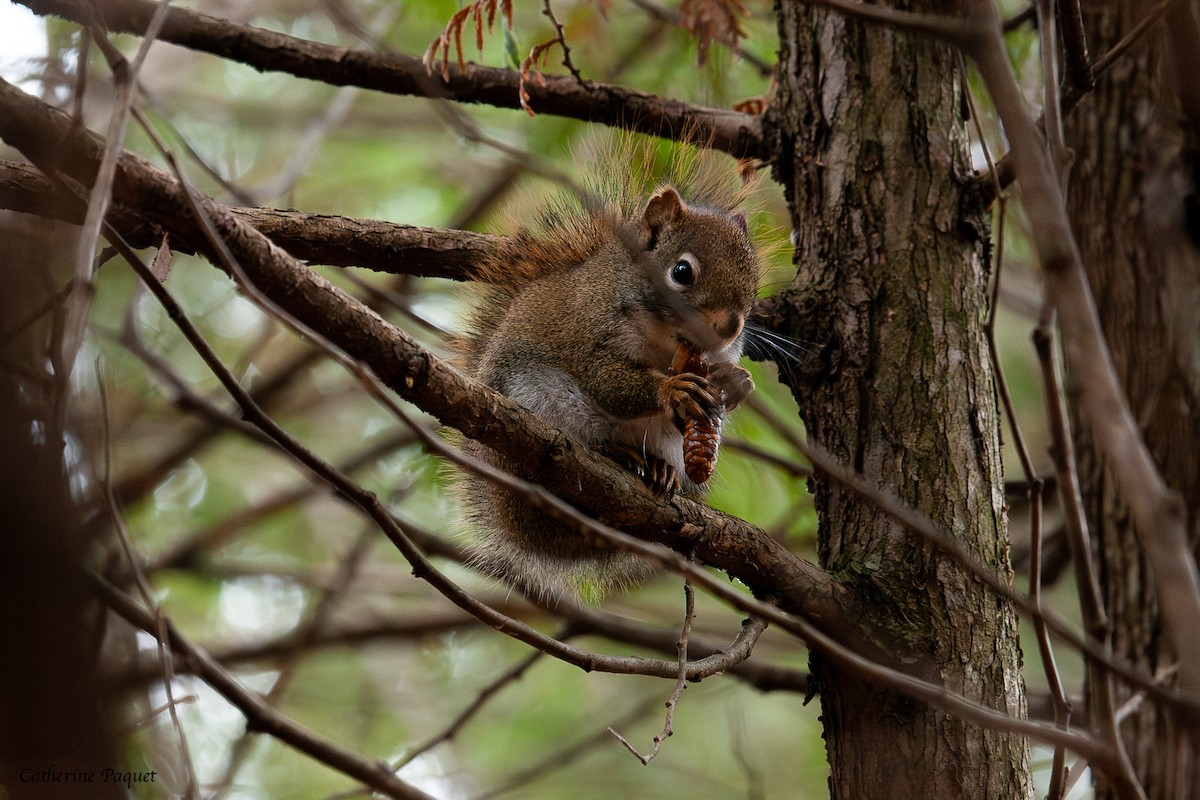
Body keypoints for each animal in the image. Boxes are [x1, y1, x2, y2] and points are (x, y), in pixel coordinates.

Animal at [455, 151, 762, 601]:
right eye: (681, 271)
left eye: (755, 282)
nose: (730, 326)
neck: (666, 340)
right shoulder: (589, 332)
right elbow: (607, 382)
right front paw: (670, 389)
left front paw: (738, 382)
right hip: (536, 398)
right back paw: (615, 453)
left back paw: (659, 469)